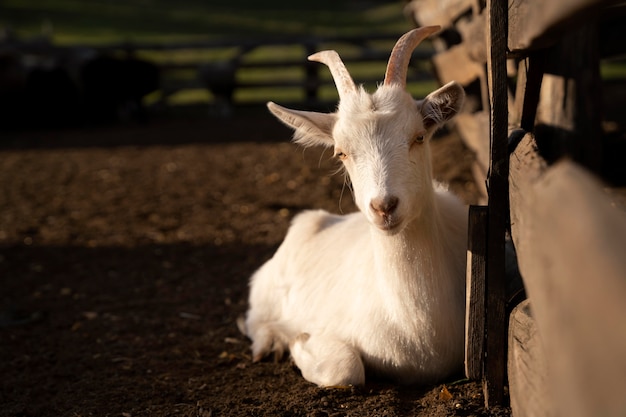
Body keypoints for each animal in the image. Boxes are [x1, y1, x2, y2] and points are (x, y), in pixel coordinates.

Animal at [241, 26, 466, 386]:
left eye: (419, 137)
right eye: (341, 152)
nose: (384, 206)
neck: (420, 333)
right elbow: (347, 368)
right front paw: (297, 340)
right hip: (264, 291)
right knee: (253, 319)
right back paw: (271, 342)